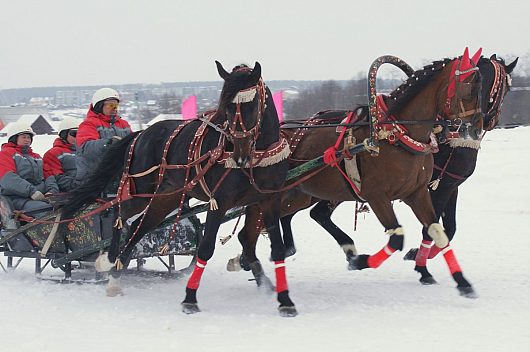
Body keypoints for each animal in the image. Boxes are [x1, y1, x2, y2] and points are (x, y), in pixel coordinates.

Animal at [60, 60, 296, 316]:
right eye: (226, 108)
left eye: (251, 105)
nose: (239, 154)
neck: (256, 158)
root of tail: (142, 134)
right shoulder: (219, 202)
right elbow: (205, 249)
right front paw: (190, 298)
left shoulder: (269, 200)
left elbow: (278, 248)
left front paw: (285, 300)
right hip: (140, 191)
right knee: (119, 215)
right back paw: (109, 259)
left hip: (166, 198)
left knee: (139, 228)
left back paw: (115, 277)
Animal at [229, 48, 484, 296]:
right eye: (470, 88)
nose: (476, 128)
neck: (397, 135)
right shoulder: (377, 196)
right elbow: (397, 239)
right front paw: (361, 261)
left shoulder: (417, 193)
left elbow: (437, 232)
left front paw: (462, 282)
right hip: (277, 195)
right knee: (250, 231)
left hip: (299, 195)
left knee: (271, 225)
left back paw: (251, 264)